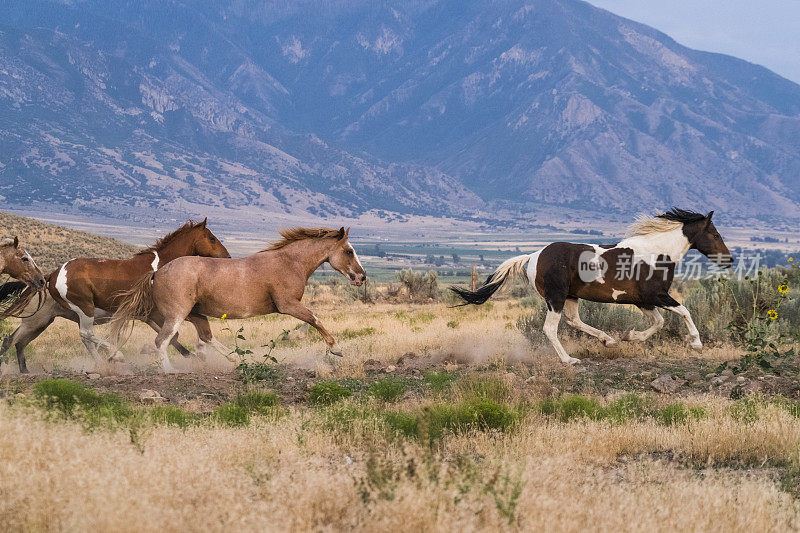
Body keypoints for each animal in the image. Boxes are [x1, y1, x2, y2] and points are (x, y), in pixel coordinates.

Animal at [0, 218, 231, 372]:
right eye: (212, 238)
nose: (227, 258)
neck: (161, 267)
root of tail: (52, 275)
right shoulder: (158, 312)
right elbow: (176, 335)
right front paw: (197, 354)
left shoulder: (151, 314)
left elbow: (177, 335)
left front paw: (197, 354)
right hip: (82, 308)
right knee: (85, 334)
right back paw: (115, 356)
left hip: (47, 320)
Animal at [108, 227, 366, 372]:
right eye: (349, 251)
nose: (362, 277)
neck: (289, 263)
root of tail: (156, 273)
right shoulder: (288, 304)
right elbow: (315, 319)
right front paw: (336, 349)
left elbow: (311, 321)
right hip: (177, 314)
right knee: (162, 341)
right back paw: (171, 371)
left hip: (195, 314)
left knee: (205, 337)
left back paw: (234, 361)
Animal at [450, 207, 732, 362]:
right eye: (715, 234)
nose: (729, 260)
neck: (657, 253)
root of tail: (533, 256)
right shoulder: (656, 295)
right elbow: (684, 311)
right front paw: (696, 343)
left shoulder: (643, 300)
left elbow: (659, 322)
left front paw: (630, 336)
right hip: (555, 298)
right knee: (550, 329)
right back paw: (569, 361)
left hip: (571, 297)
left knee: (574, 320)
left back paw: (609, 340)